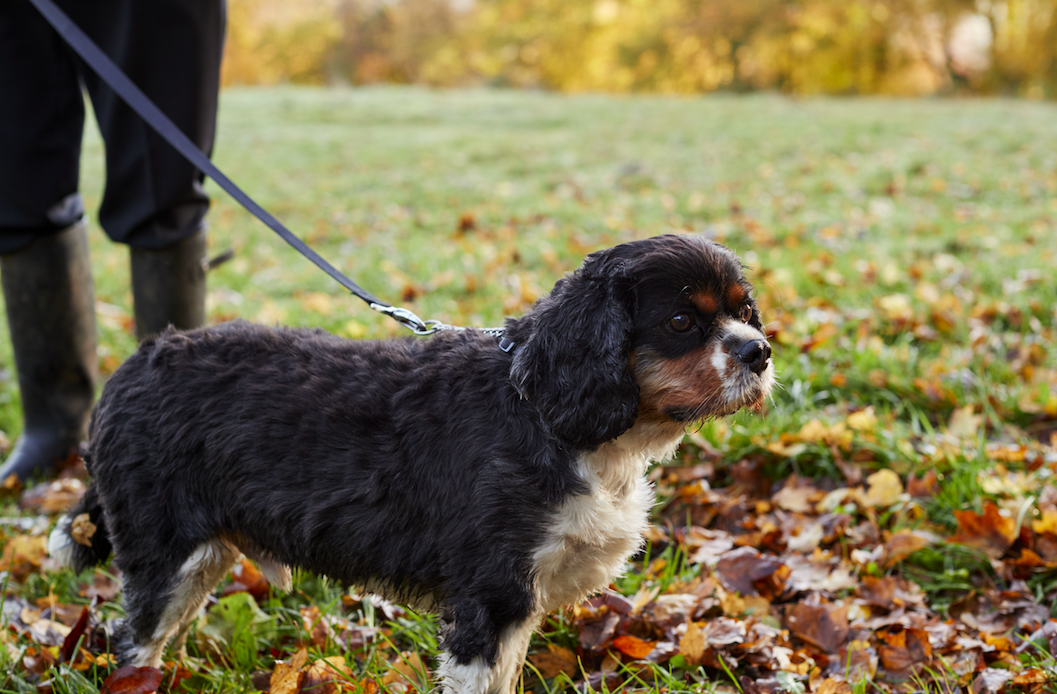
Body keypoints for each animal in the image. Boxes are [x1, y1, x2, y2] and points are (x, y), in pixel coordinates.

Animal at [49, 234, 773, 692]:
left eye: (744, 311)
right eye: (681, 321)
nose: (760, 351)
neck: (544, 408)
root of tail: (131, 366)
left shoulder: (520, 605)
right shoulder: (491, 597)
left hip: (201, 558)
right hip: (164, 554)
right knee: (130, 643)